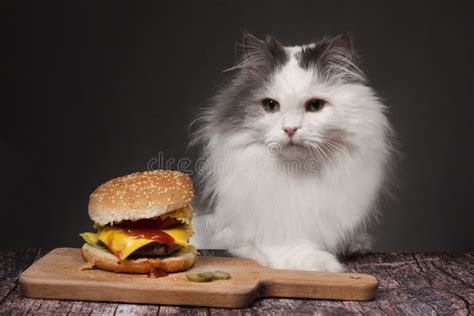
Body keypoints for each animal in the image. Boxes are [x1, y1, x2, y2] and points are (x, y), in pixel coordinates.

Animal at [188, 34, 392, 272]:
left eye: (315, 105)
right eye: (270, 105)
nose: (290, 129)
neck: (300, 175)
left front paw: (356, 244)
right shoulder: (239, 232)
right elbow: (288, 246)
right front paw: (325, 265)